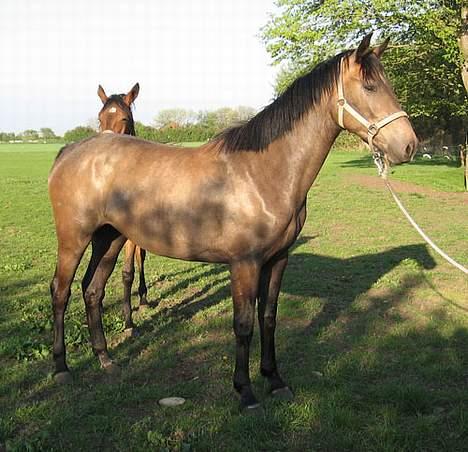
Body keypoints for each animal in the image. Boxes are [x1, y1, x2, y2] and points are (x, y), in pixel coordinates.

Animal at [49, 35, 418, 414]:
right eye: (370, 86)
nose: (408, 145)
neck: (262, 174)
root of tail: (70, 151)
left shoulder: (277, 259)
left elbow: (268, 318)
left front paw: (275, 380)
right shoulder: (244, 263)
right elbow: (243, 325)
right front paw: (246, 393)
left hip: (109, 239)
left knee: (92, 291)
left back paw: (105, 358)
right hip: (74, 239)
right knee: (61, 291)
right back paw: (61, 368)